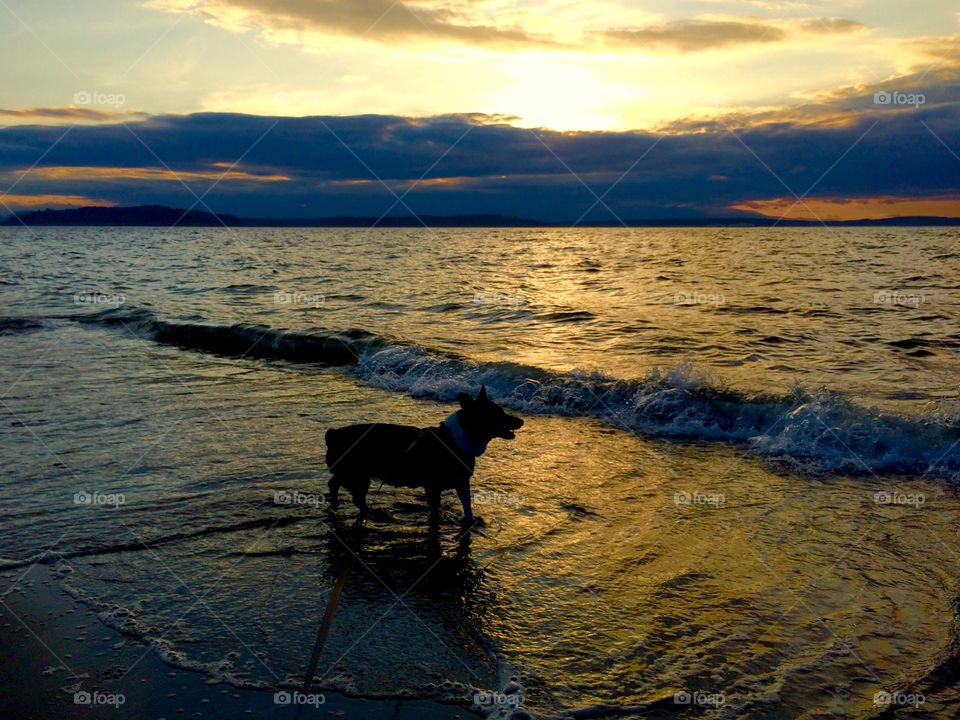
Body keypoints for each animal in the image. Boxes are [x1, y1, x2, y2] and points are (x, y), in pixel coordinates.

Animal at [324, 386, 520, 524]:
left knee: (334, 484)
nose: (521, 421)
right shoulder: (433, 487)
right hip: (357, 474)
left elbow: (467, 505)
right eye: (497, 413)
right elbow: (435, 511)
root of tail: (333, 434)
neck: (457, 438)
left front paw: (469, 521)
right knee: (356, 496)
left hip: (348, 473)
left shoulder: (462, 482)